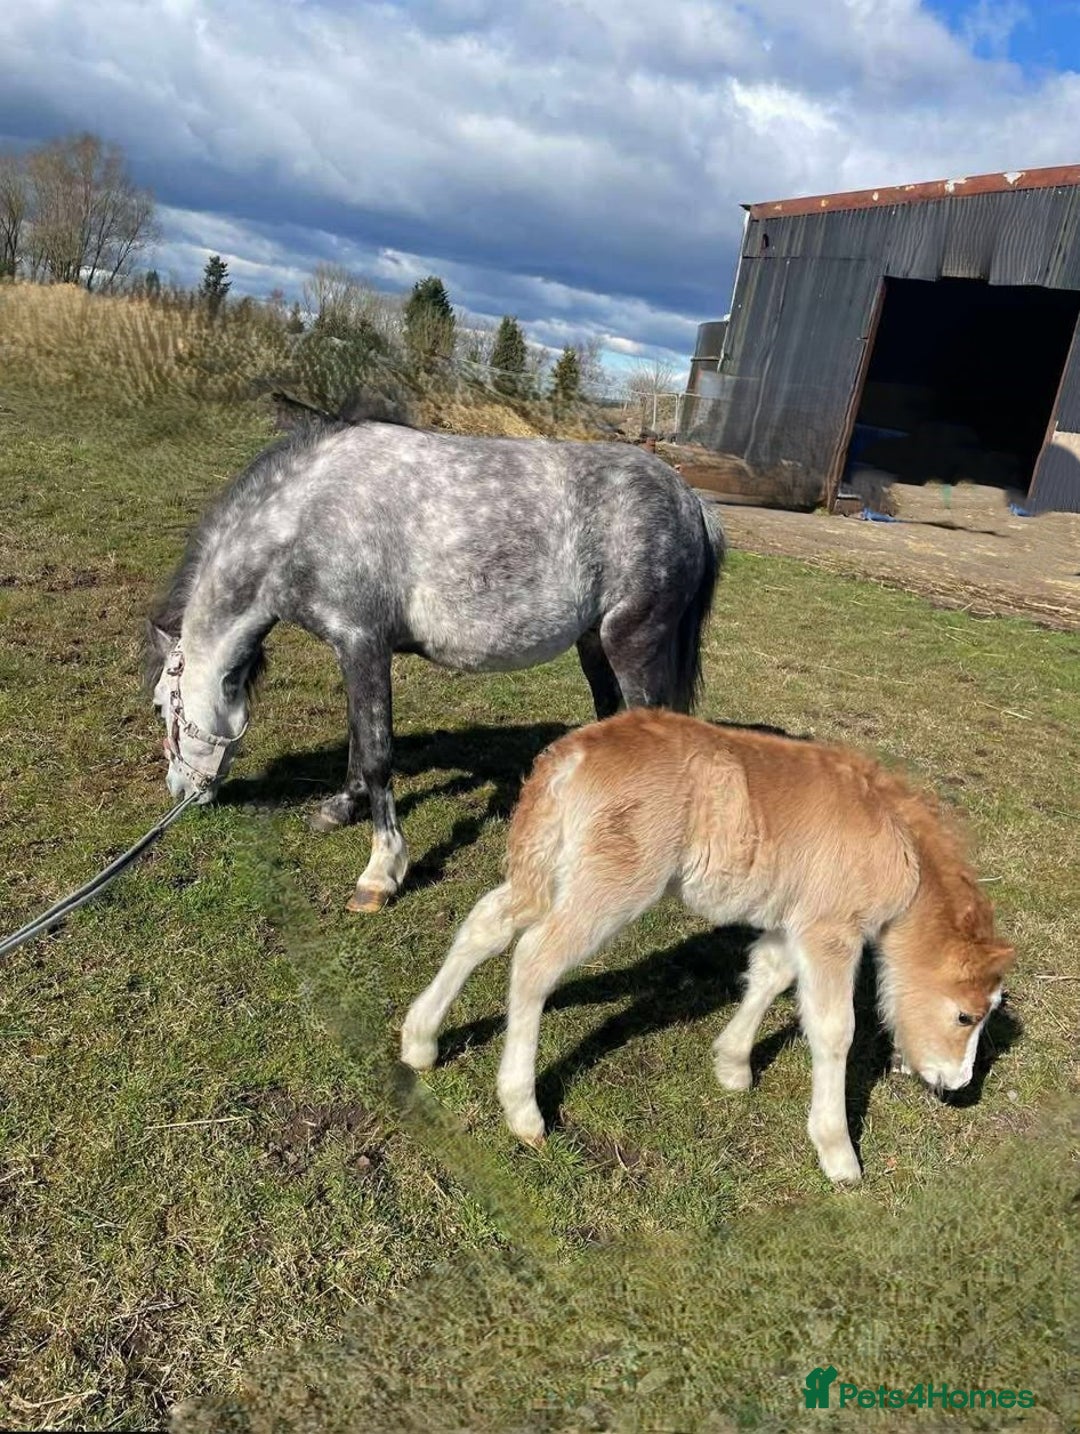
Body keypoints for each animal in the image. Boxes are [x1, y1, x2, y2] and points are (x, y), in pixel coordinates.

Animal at [146, 416, 725, 911]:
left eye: (159, 708)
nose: (180, 791)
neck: (310, 516)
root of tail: (690, 500)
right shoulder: (353, 651)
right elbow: (358, 737)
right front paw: (341, 807)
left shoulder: (363, 643)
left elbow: (377, 753)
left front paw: (381, 872)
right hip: (595, 646)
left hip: (631, 641)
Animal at [400, 708, 1015, 1182]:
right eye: (964, 1016)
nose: (958, 1085)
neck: (898, 846)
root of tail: (572, 755)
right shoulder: (830, 930)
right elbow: (834, 1029)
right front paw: (838, 1154)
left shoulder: (791, 920)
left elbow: (769, 973)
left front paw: (733, 1066)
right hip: (611, 887)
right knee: (535, 959)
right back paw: (524, 1113)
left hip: (546, 866)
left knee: (486, 924)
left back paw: (420, 1042)